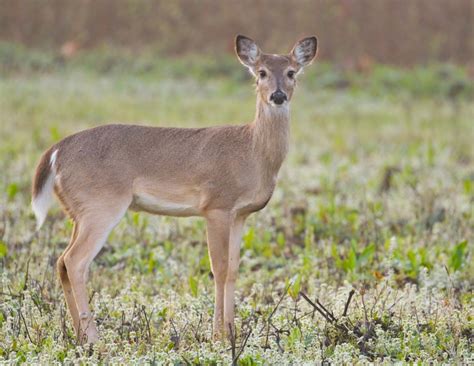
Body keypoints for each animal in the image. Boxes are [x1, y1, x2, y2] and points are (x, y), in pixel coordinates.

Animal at [31, 34, 316, 344]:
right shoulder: (216, 205)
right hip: (101, 204)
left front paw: (231, 332)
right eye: (261, 72)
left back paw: (77, 335)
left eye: (291, 72)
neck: (252, 152)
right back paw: (95, 338)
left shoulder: (240, 214)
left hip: (78, 211)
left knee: (61, 261)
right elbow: (219, 268)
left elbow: (233, 269)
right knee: (75, 261)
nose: (278, 95)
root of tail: (56, 151)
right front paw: (218, 336)